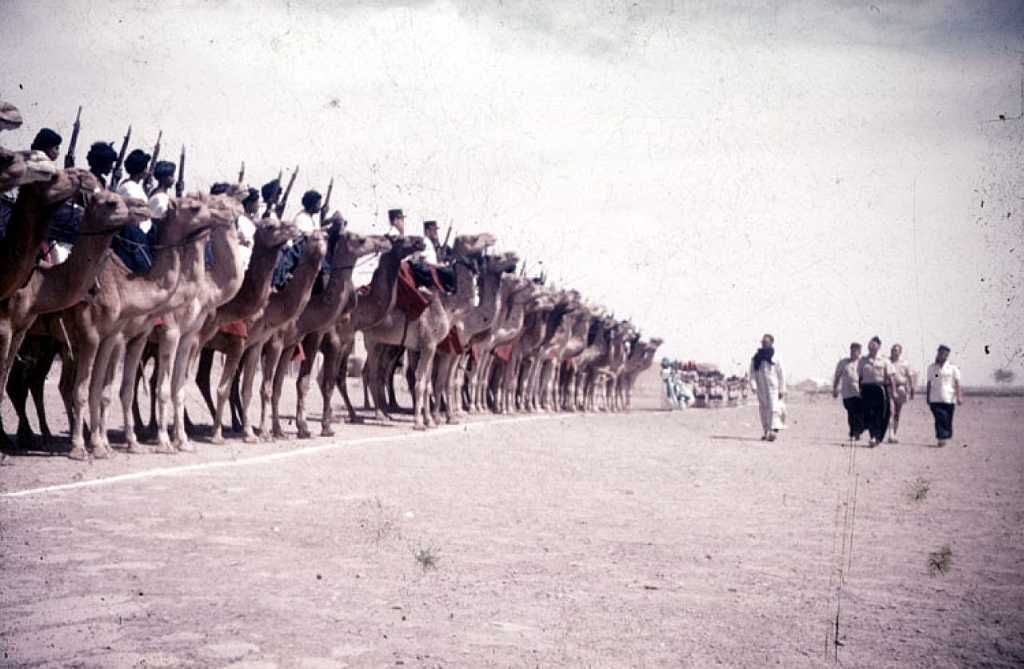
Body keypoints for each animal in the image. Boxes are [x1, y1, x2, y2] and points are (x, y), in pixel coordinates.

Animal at [362, 234, 497, 430]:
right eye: (473, 238)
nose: (492, 237)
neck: (449, 308)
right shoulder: (430, 345)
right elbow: (424, 382)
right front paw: (421, 422)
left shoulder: (433, 348)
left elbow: (428, 382)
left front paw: (430, 420)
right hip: (371, 340)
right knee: (372, 373)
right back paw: (379, 415)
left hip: (383, 343)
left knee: (380, 373)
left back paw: (385, 413)